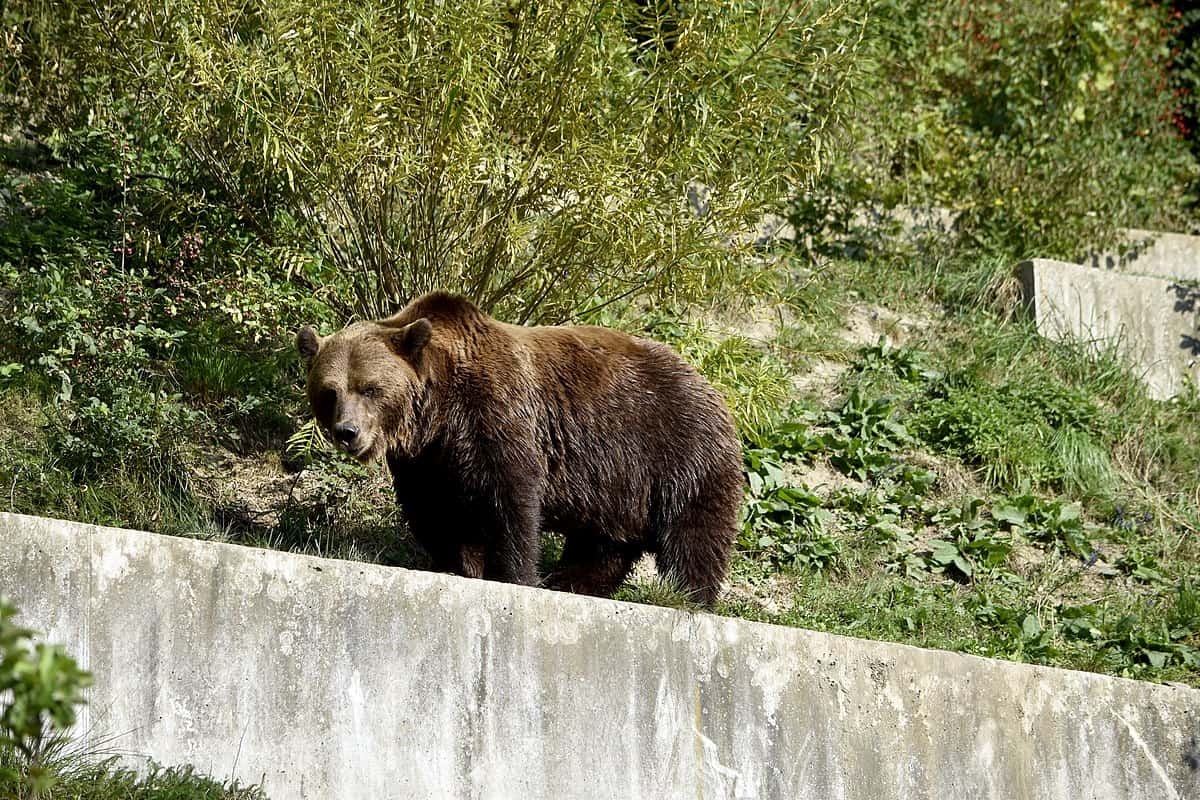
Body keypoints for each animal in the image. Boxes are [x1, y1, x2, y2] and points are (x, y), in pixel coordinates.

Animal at [295, 291, 739, 604]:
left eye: (370, 388)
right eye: (329, 391)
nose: (348, 431)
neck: (439, 410)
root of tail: (707, 381)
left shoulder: (496, 415)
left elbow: (509, 500)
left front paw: (514, 576)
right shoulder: (425, 460)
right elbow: (435, 513)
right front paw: (459, 566)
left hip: (676, 447)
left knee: (693, 532)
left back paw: (689, 597)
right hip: (616, 486)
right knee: (602, 544)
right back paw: (569, 582)